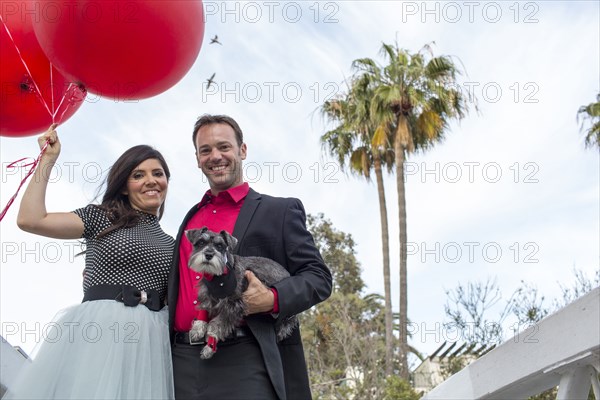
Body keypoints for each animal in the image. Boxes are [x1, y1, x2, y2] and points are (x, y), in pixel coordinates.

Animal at [185, 227, 298, 360]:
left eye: (220, 246)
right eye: (201, 242)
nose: (208, 255)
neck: (218, 277)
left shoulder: (234, 305)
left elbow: (217, 324)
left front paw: (210, 346)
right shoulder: (207, 296)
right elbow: (204, 310)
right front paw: (197, 329)